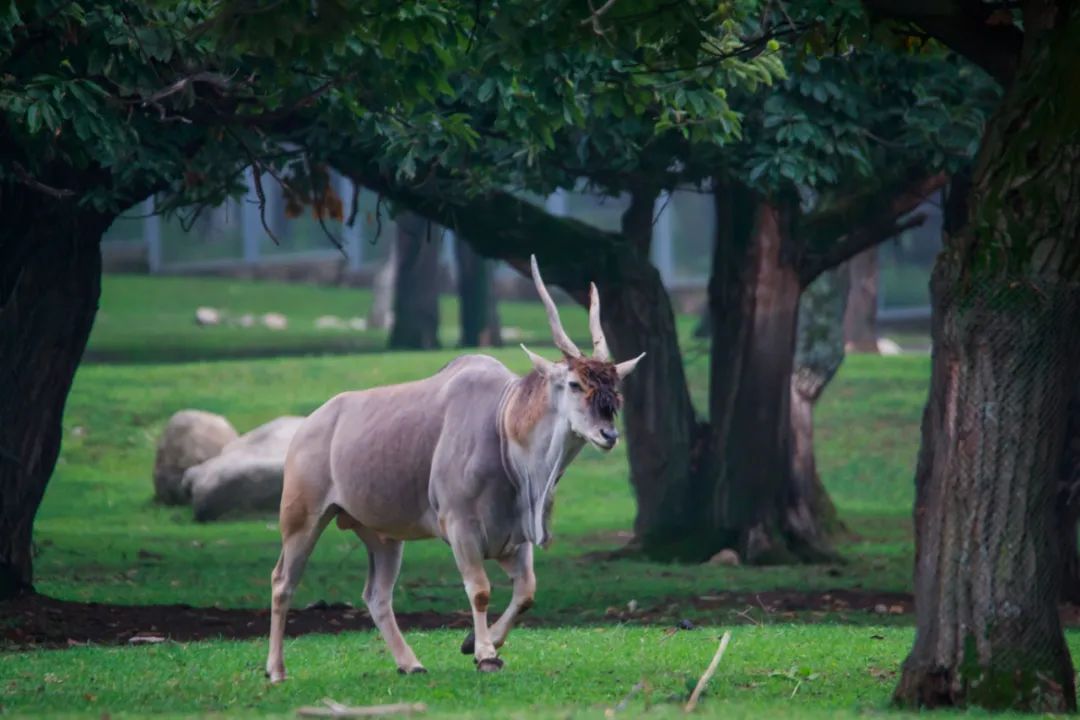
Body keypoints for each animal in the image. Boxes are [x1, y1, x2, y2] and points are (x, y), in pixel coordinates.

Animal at [266, 254, 643, 682]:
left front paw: (475, 643)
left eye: (615, 387)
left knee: (376, 594)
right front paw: (484, 653)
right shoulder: (460, 528)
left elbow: (526, 592)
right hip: (302, 519)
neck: (503, 425)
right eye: (576, 383)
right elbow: (479, 589)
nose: (608, 434)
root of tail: (308, 426)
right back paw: (276, 670)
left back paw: (410, 663)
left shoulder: (515, 539)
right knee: (283, 581)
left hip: (382, 536)